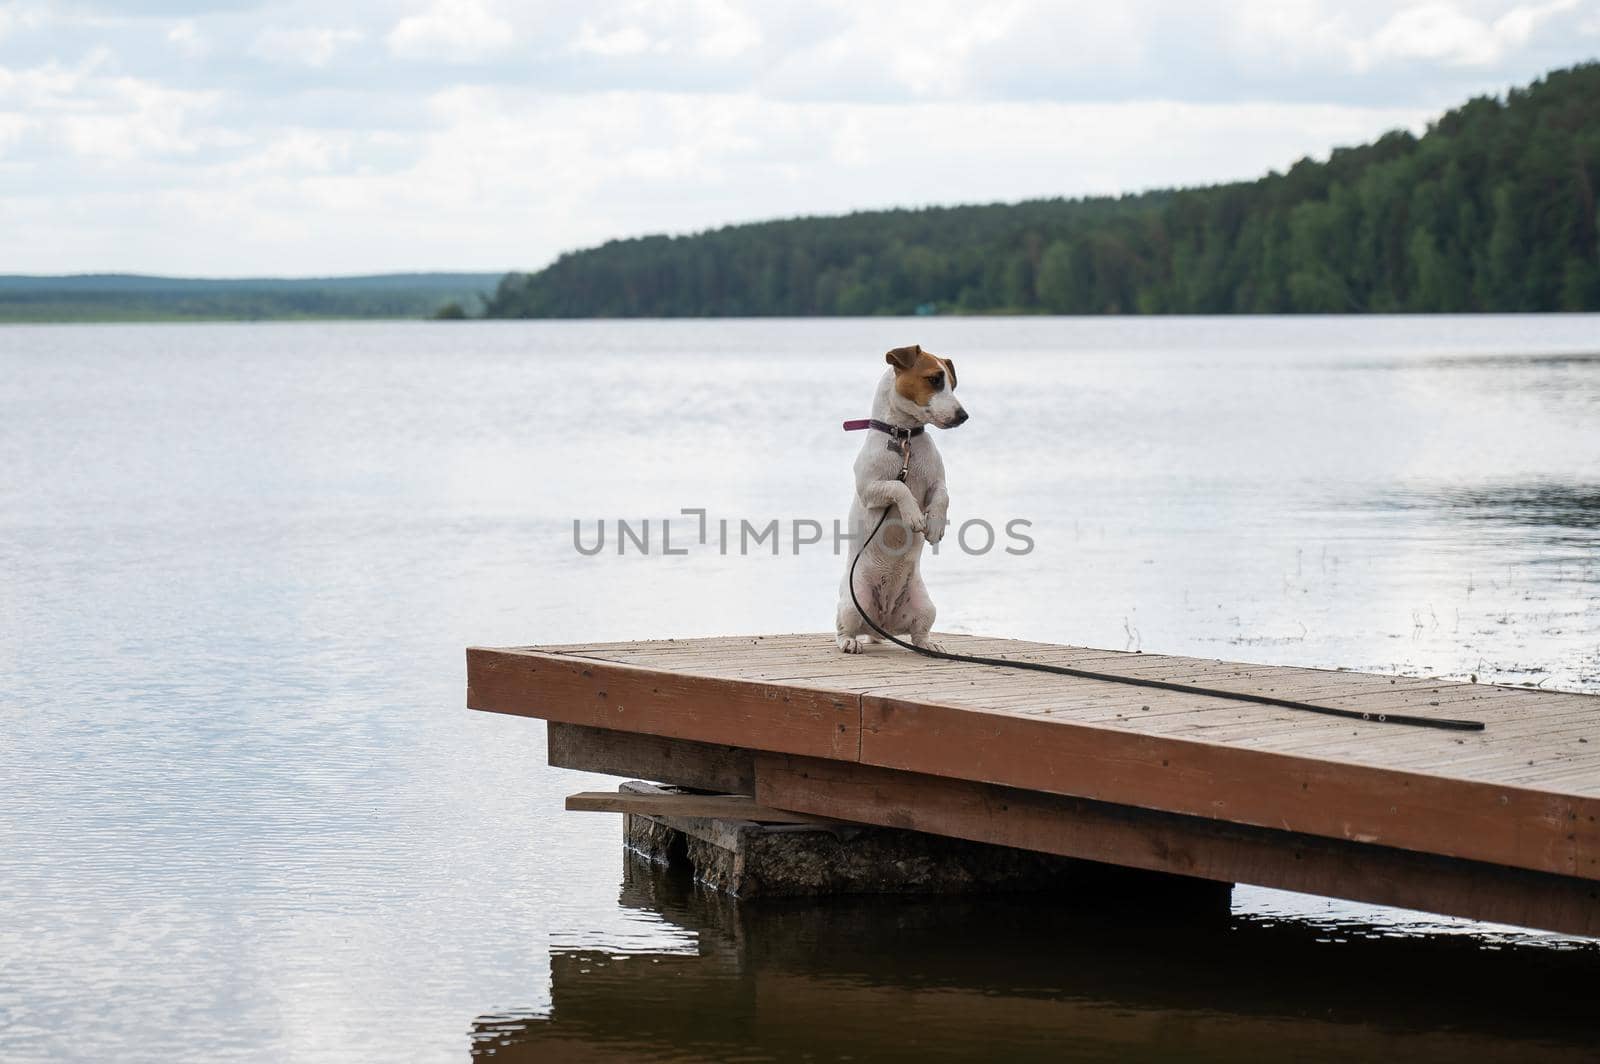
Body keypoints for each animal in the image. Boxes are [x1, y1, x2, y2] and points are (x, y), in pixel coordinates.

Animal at [832, 344, 966, 652]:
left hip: (925, 606)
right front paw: (914, 515)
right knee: (844, 629)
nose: (963, 415)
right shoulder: (870, 488)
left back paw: (928, 645)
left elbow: (943, 496)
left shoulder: (936, 482)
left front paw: (935, 526)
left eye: (952, 384)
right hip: (853, 602)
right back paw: (850, 642)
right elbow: (898, 487)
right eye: (934, 379)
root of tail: (881, 624)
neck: (905, 438)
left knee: (919, 632)